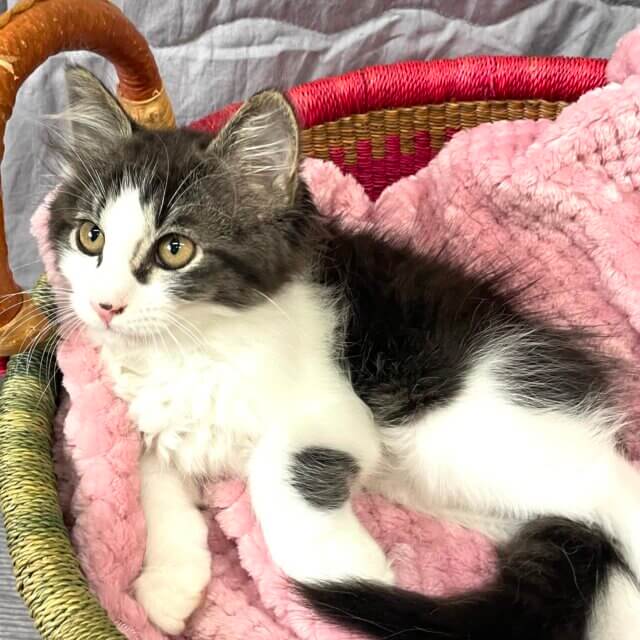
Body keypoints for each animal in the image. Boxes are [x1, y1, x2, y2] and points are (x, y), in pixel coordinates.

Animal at [47, 66, 640, 639]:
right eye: (90, 238)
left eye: (175, 249)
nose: (105, 305)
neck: (192, 346)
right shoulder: (154, 421)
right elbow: (153, 480)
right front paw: (167, 586)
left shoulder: (335, 410)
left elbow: (277, 465)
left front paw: (342, 565)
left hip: (467, 432)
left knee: (616, 492)